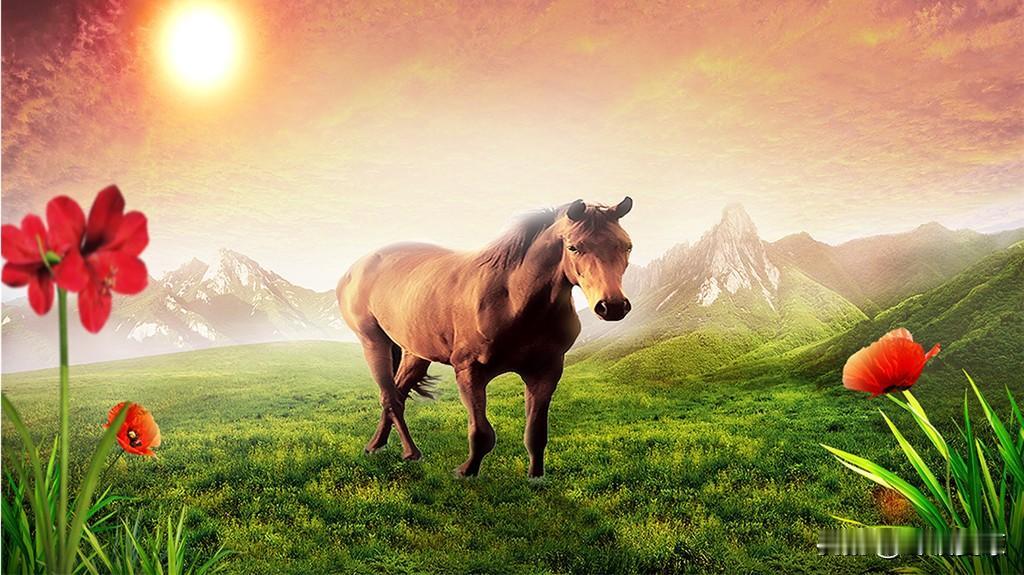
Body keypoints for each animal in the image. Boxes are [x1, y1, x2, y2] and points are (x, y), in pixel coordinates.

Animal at [336, 197, 633, 477]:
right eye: (574, 247)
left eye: (626, 246)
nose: (612, 306)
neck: (512, 300)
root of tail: (356, 267)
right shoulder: (470, 371)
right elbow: (481, 433)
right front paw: (466, 472)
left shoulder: (545, 372)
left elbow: (536, 434)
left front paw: (536, 477)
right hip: (373, 342)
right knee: (391, 398)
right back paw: (410, 452)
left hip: (416, 353)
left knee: (396, 393)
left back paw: (376, 445)